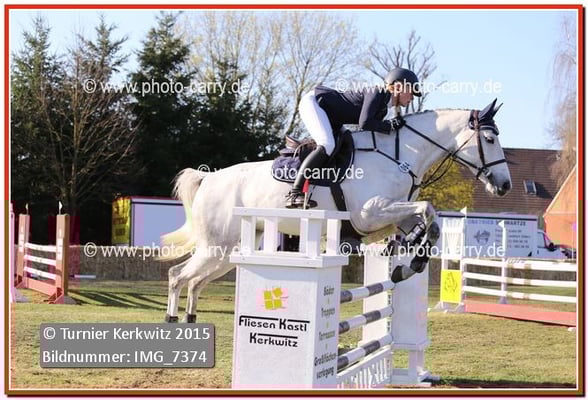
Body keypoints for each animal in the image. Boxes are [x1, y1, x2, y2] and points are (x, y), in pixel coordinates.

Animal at [161, 98, 512, 322]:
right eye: (489, 138)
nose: (505, 185)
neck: (400, 154)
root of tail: (208, 178)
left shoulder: (393, 211)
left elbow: (430, 223)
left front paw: (408, 260)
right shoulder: (370, 213)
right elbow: (427, 209)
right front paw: (407, 258)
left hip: (229, 250)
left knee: (195, 282)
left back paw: (191, 317)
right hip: (216, 246)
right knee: (178, 276)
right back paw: (173, 320)